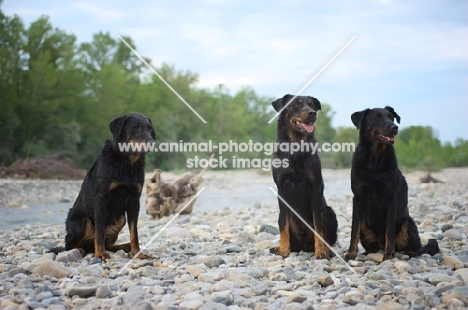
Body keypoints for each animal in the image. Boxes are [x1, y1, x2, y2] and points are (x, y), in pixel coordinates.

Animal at [50, 112, 155, 260]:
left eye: (150, 128)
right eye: (136, 127)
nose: (152, 143)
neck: (127, 162)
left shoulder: (134, 201)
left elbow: (134, 233)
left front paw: (137, 253)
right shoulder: (101, 199)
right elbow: (99, 232)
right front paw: (100, 253)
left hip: (120, 218)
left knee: (108, 244)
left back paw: (124, 246)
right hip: (82, 221)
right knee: (68, 246)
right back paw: (81, 250)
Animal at [268, 94, 338, 260]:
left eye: (312, 105)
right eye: (297, 104)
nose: (313, 113)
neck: (296, 145)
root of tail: (305, 247)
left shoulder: (314, 189)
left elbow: (318, 227)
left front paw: (320, 252)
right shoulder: (282, 189)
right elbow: (283, 226)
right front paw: (283, 249)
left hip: (328, 213)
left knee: (327, 237)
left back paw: (327, 250)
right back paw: (281, 247)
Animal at [344, 106, 438, 262]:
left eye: (391, 117)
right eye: (376, 118)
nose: (395, 127)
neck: (374, 162)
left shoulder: (390, 199)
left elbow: (389, 230)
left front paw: (389, 253)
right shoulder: (358, 198)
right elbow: (354, 230)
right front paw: (351, 253)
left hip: (408, 224)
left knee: (416, 247)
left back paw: (408, 253)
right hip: (365, 223)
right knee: (371, 245)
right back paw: (367, 252)